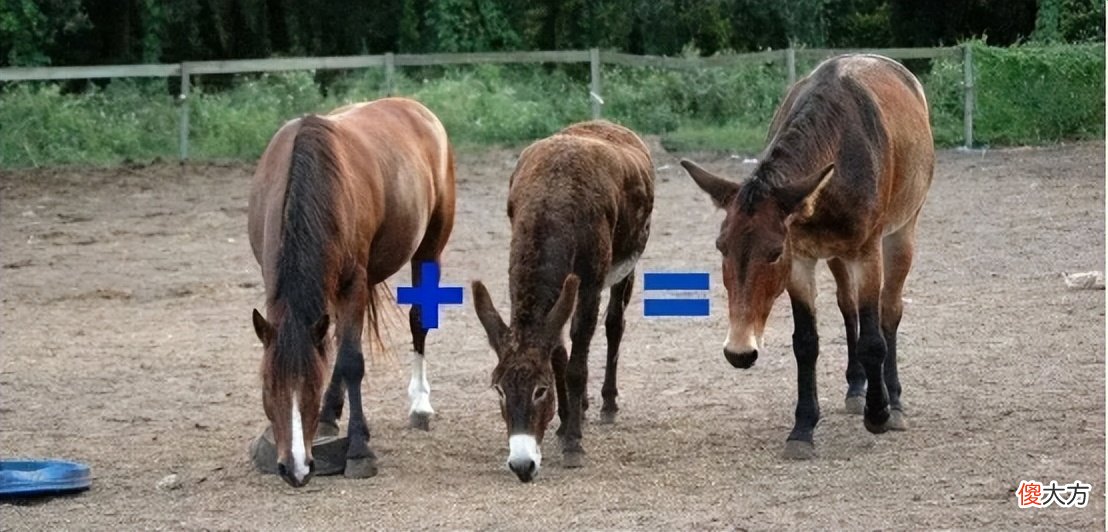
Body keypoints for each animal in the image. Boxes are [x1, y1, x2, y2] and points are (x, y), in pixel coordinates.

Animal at [247, 97, 456, 487]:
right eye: (267, 387)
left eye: (310, 388)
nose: (295, 469)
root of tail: (415, 108)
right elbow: (338, 351)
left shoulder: (351, 283)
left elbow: (350, 361)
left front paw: (359, 449)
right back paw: (332, 414)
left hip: (429, 247)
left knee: (417, 319)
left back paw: (420, 405)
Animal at [471, 121, 654, 482]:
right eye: (498, 389)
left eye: (541, 390)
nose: (522, 465)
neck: (551, 199)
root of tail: (607, 124)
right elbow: (559, 353)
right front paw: (566, 421)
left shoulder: (591, 283)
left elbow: (576, 365)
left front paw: (573, 443)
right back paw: (580, 408)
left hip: (627, 263)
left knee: (614, 325)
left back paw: (607, 404)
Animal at [680, 54, 934, 459]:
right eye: (721, 247)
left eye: (773, 253)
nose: (739, 351)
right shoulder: (801, 260)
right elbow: (806, 342)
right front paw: (802, 428)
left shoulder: (866, 253)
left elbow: (873, 338)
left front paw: (877, 413)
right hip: (836, 255)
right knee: (848, 307)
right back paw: (855, 387)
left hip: (901, 233)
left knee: (889, 311)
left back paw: (893, 402)